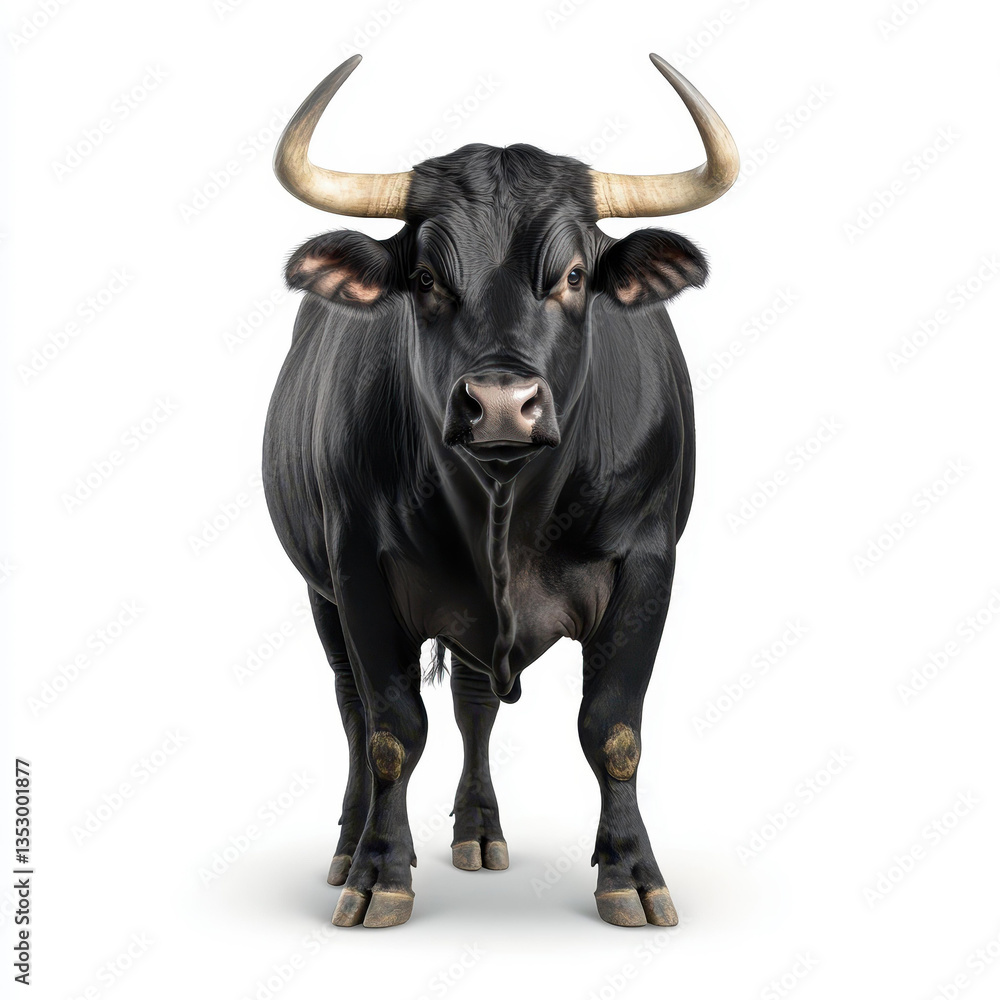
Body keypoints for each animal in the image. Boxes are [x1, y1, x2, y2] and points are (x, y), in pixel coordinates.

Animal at [263, 52, 738, 928]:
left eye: (575, 275)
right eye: (424, 276)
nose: (502, 404)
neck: (508, 511)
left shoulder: (649, 564)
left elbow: (612, 728)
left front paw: (632, 875)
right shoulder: (357, 572)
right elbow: (390, 730)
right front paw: (379, 874)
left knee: (475, 702)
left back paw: (480, 833)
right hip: (319, 592)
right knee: (352, 709)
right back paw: (349, 846)